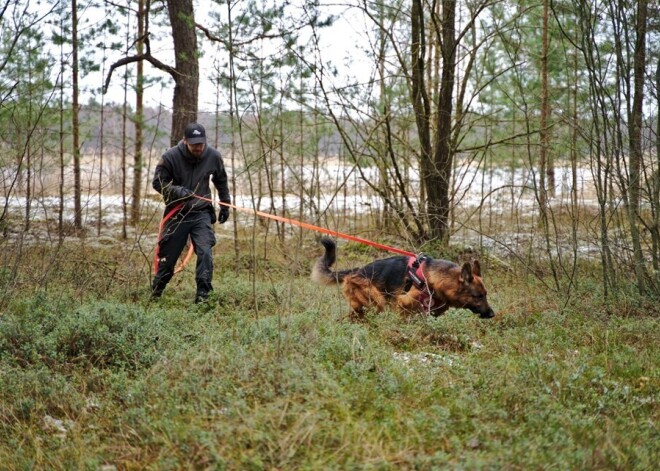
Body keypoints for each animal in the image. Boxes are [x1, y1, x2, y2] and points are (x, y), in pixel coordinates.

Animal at [312, 238, 492, 318]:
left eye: (485, 295)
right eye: (478, 296)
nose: (492, 314)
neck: (436, 279)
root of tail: (356, 270)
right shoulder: (402, 304)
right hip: (377, 298)